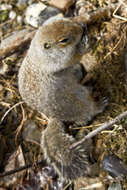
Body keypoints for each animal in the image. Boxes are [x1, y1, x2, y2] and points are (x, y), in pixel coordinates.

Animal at [18, 16, 108, 181]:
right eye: (64, 40)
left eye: (66, 19)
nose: (81, 27)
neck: (39, 53)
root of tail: (55, 118)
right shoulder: (59, 61)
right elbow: (74, 57)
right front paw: (86, 42)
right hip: (79, 98)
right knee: (87, 114)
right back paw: (99, 105)